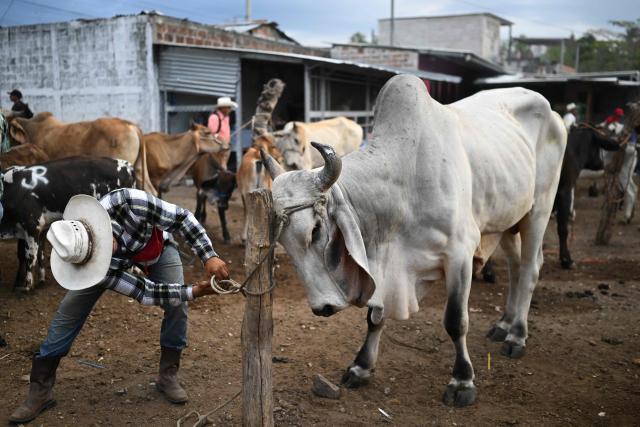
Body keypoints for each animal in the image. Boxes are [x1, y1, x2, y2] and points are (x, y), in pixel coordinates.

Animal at [0, 157, 135, 291]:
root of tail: (127, 165)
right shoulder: (37, 228)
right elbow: (35, 254)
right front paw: (37, 280)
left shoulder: (32, 226)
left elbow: (30, 256)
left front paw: (27, 285)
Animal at [261, 75, 566, 407]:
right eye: (282, 241)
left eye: (316, 230)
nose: (323, 307)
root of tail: (552, 112)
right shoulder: (386, 267)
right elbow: (375, 316)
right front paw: (361, 367)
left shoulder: (460, 253)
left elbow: (455, 320)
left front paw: (462, 381)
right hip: (506, 219)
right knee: (515, 267)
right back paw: (504, 325)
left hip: (539, 209)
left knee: (530, 270)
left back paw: (517, 335)